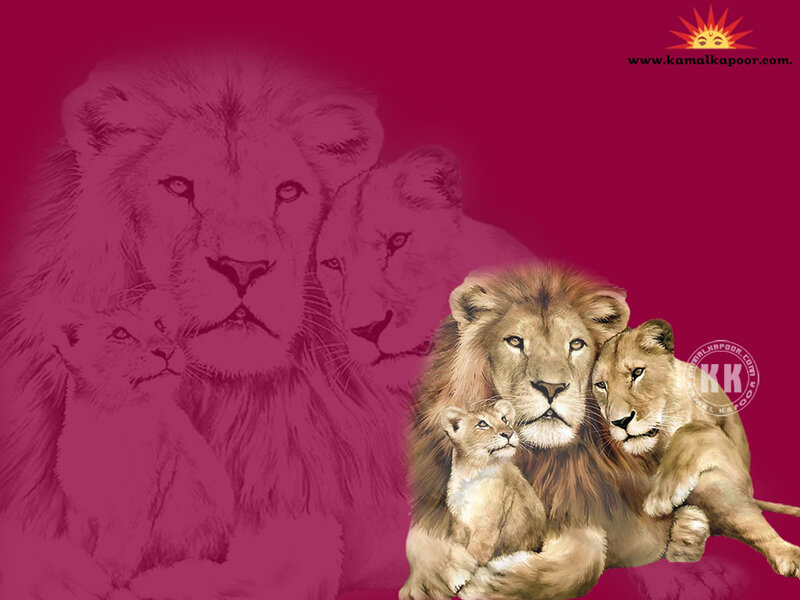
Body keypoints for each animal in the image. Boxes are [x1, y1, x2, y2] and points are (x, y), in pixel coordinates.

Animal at [401, 265, 710, 600]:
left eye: (576, 344)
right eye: (515, 341)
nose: (551, 387)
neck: (540, 458)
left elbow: (587, 557)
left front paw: (495, 582)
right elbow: (421, 538)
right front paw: (431, 580)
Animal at [592, 319, 800, 578]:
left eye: (637, 372)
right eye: (601, 385)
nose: (620, 422)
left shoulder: (736, 464)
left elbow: (694, 429)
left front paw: (661, 496)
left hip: (720, 482)